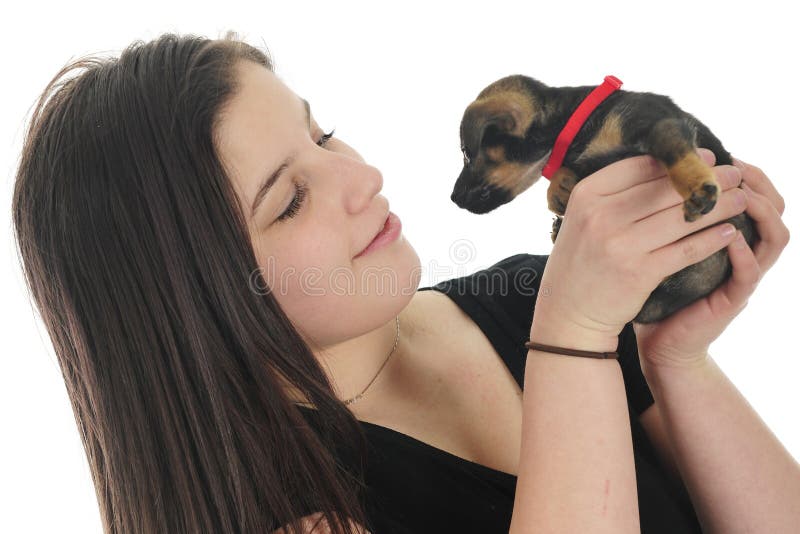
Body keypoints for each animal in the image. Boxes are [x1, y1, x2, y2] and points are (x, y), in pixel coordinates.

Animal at [454, 75, 760, 324]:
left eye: (467, 154)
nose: (453, 198)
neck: (575, 123)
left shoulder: (657, 124)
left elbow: (677, 152)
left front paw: (697, 185)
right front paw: (560, 193)